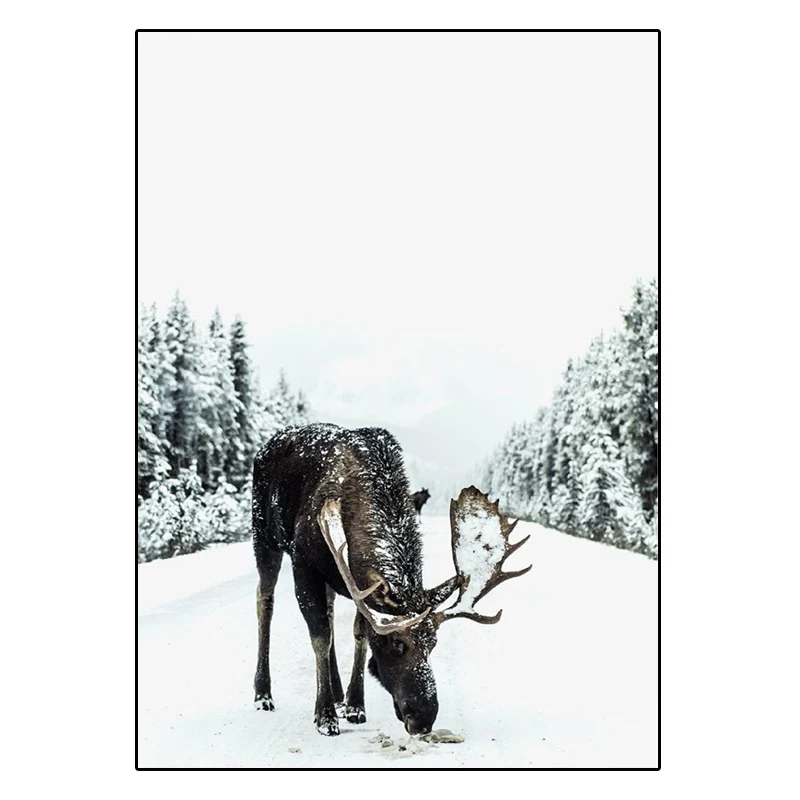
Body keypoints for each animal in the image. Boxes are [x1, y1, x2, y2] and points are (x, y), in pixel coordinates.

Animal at [251, 423, 531, 736]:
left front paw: (355, 705)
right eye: (397, 644)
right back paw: (263, 694)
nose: (423, 719)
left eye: (433, 643)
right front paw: (325, 716)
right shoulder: (304, 563)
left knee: (331, 611)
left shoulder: (355, 582)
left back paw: (337, 692)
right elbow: (320, 636)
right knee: (265, 601)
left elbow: (359, 634)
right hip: (264, 536)